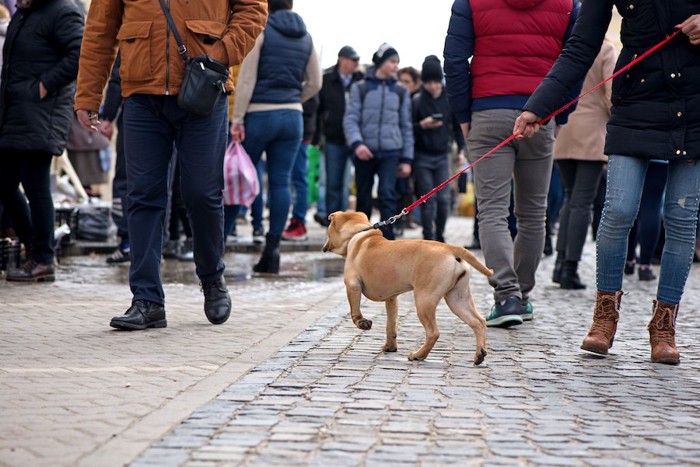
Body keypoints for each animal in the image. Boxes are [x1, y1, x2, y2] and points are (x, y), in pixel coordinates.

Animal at [322, 212, 492, 366]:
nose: (324, 246)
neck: (360, 234)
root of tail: (450, 249)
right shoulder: (391, 298)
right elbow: (391, 324)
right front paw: (390, 347)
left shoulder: (352, 285)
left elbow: (355, 312)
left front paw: (363, 323)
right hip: (457, 298)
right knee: (478, 322)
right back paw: (479, 354)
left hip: (424, 300)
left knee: (433, 333)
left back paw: (418, 355)